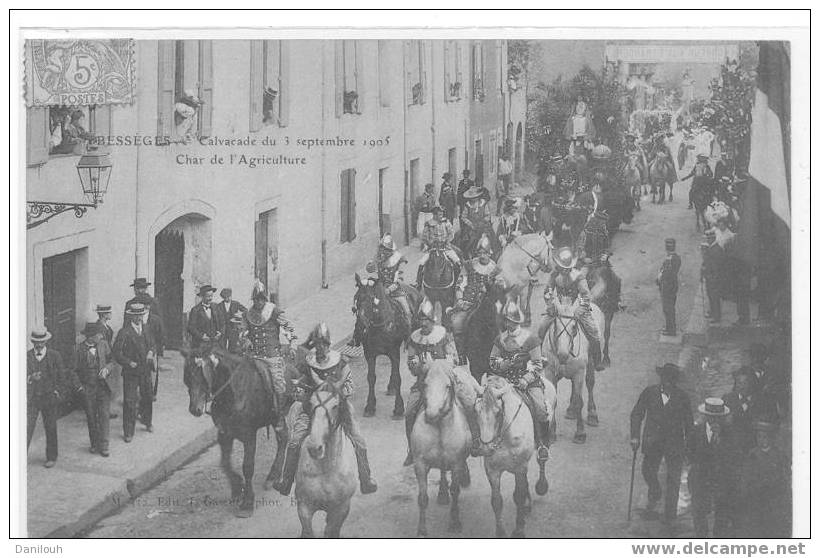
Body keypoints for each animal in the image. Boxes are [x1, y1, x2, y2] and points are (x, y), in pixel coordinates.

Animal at [183, 350, 294, 520]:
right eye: (187, 376)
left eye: (203, 375)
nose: (195, 409)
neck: (233, 393)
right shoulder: (224, 434)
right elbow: (225, 463)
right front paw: (237, 488)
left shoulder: (249, 436)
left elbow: (247, 467)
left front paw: (247, 502)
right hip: (277, 417)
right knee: (283, 438)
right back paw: (273, 476)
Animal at [296, 390, 358, 540]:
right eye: (311, 403)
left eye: (335, 406)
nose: (315, 448)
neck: (326, 468)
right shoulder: (304, 506)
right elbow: (308, 532)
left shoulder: (341, 509)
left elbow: (331, 531)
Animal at [350, 276, 420, 420]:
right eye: (357, 299)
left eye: (372, 301)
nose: (360, 327)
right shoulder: (369, 353)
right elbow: (371, 377)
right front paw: (370, 406)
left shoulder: (394, 352)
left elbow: (398, 377)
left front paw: (398, 409)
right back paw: (391, 387)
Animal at [410, 360, 474, 540]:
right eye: (425, 384)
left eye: (447, 386)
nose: (431, 414)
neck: (439, 427)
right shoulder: (420, 465)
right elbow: (422, 498)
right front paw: (422, 530)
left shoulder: (456, 463)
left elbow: (456, 491)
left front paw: (455, 523)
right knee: (443, 472)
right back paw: (442, 494)